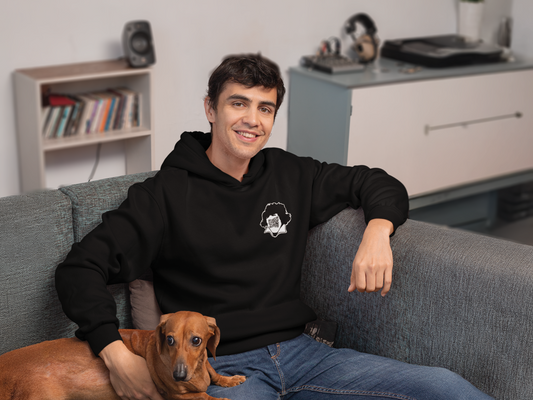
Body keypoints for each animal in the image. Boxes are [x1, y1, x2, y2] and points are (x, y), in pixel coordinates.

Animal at [0, 311, 246, 400]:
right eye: (169, 340)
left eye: (196, 340)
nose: (178, 375)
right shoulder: (177, 397)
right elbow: (205, 396)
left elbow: (213, 371)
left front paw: (228, 379)